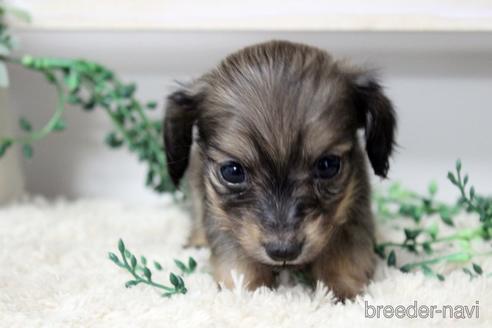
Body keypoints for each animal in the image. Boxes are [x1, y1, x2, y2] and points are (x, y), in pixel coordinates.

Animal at [163, 40, 398, 300]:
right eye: (232, 171)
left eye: (328, 166)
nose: (283, 251)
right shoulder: (220, 215)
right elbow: (237, 259)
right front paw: (250, 291)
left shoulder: (353, 206)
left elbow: (345, 251)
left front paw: (341, 292)